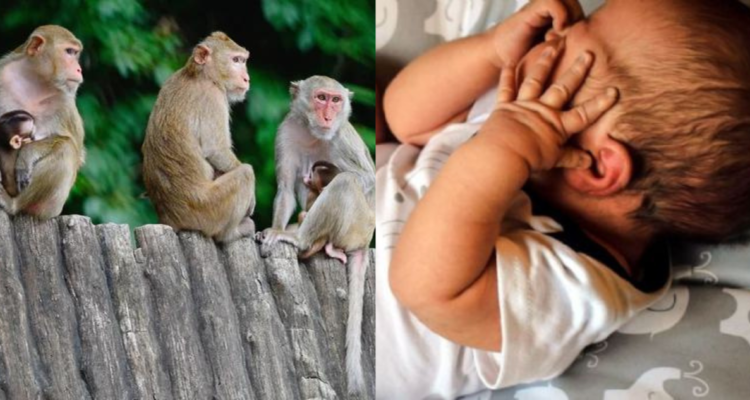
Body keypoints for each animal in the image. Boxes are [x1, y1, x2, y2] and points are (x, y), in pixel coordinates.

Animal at [0, 25, 85, 219]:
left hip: (50, 207)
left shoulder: (65, 101)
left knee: (66, 149)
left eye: (75, 53)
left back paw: (12, 205)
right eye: (69, 52)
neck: (34, 81)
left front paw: (26, 155)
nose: (79, 69)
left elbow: (76, 151)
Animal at [142, 32, 256, 243]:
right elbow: (217, 150)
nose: (247, 78)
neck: (199, 74)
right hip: (208, 209)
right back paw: (231, 233)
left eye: (243, 60)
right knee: (245, 173)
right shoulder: (213, 98)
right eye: (236, 60)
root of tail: (170, 219)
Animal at [258, 76, 375, 394]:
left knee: (346, 183)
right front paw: (275, 228)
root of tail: (365, 241)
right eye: (321, 98)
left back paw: (302, 240)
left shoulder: (343, 138)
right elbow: (286, 189)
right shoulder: (285, 133)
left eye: (336, 100)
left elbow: (366, 180)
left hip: (359, 223)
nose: (329, 116)